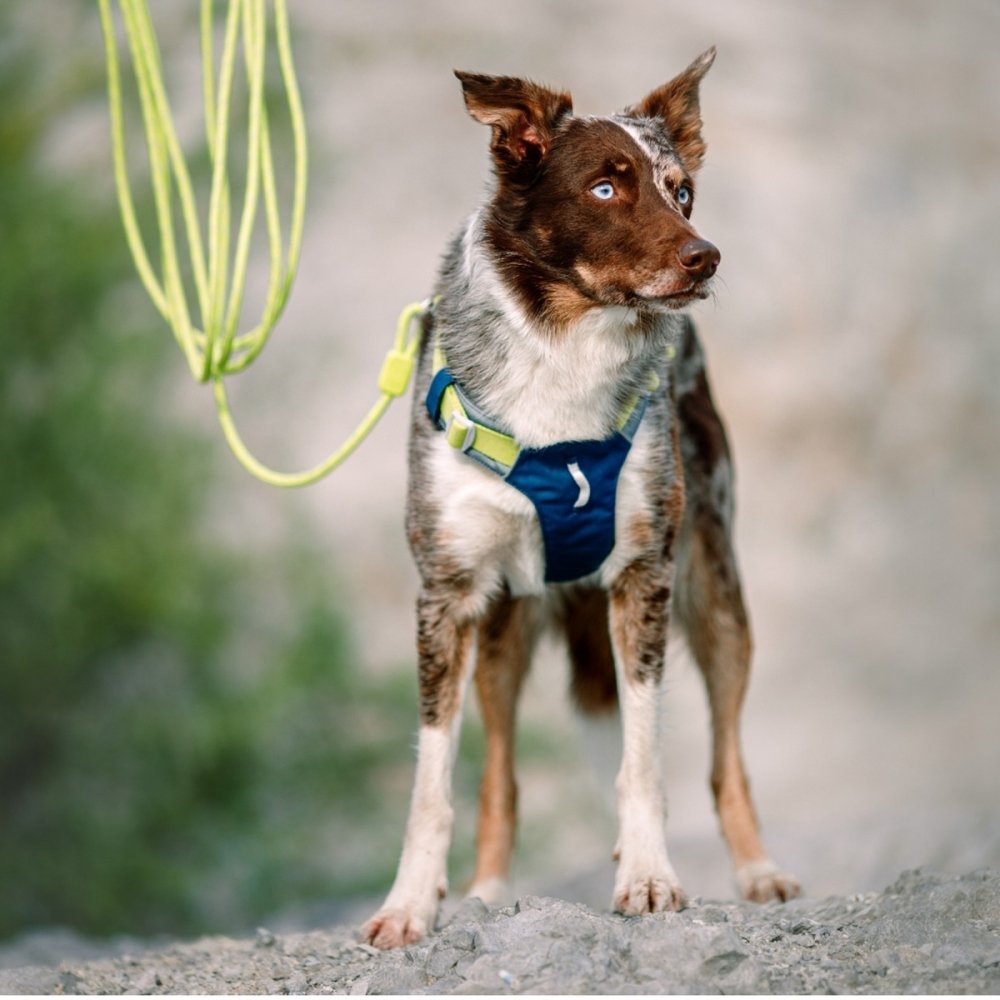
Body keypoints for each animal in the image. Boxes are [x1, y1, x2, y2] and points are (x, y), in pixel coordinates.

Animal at [364, 47, 800, 948]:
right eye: (605, 188)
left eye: (681, 190)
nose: (706, 256)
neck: (565, 354)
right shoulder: (445, 598)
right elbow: (434, 782)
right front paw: (410, 903)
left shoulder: (645, 579)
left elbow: (645, 759)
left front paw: (648, 876)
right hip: (503, 633)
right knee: (498, 773)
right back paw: (489, 891)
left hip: (718, 597)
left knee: (726, 758)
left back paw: (757, 870)